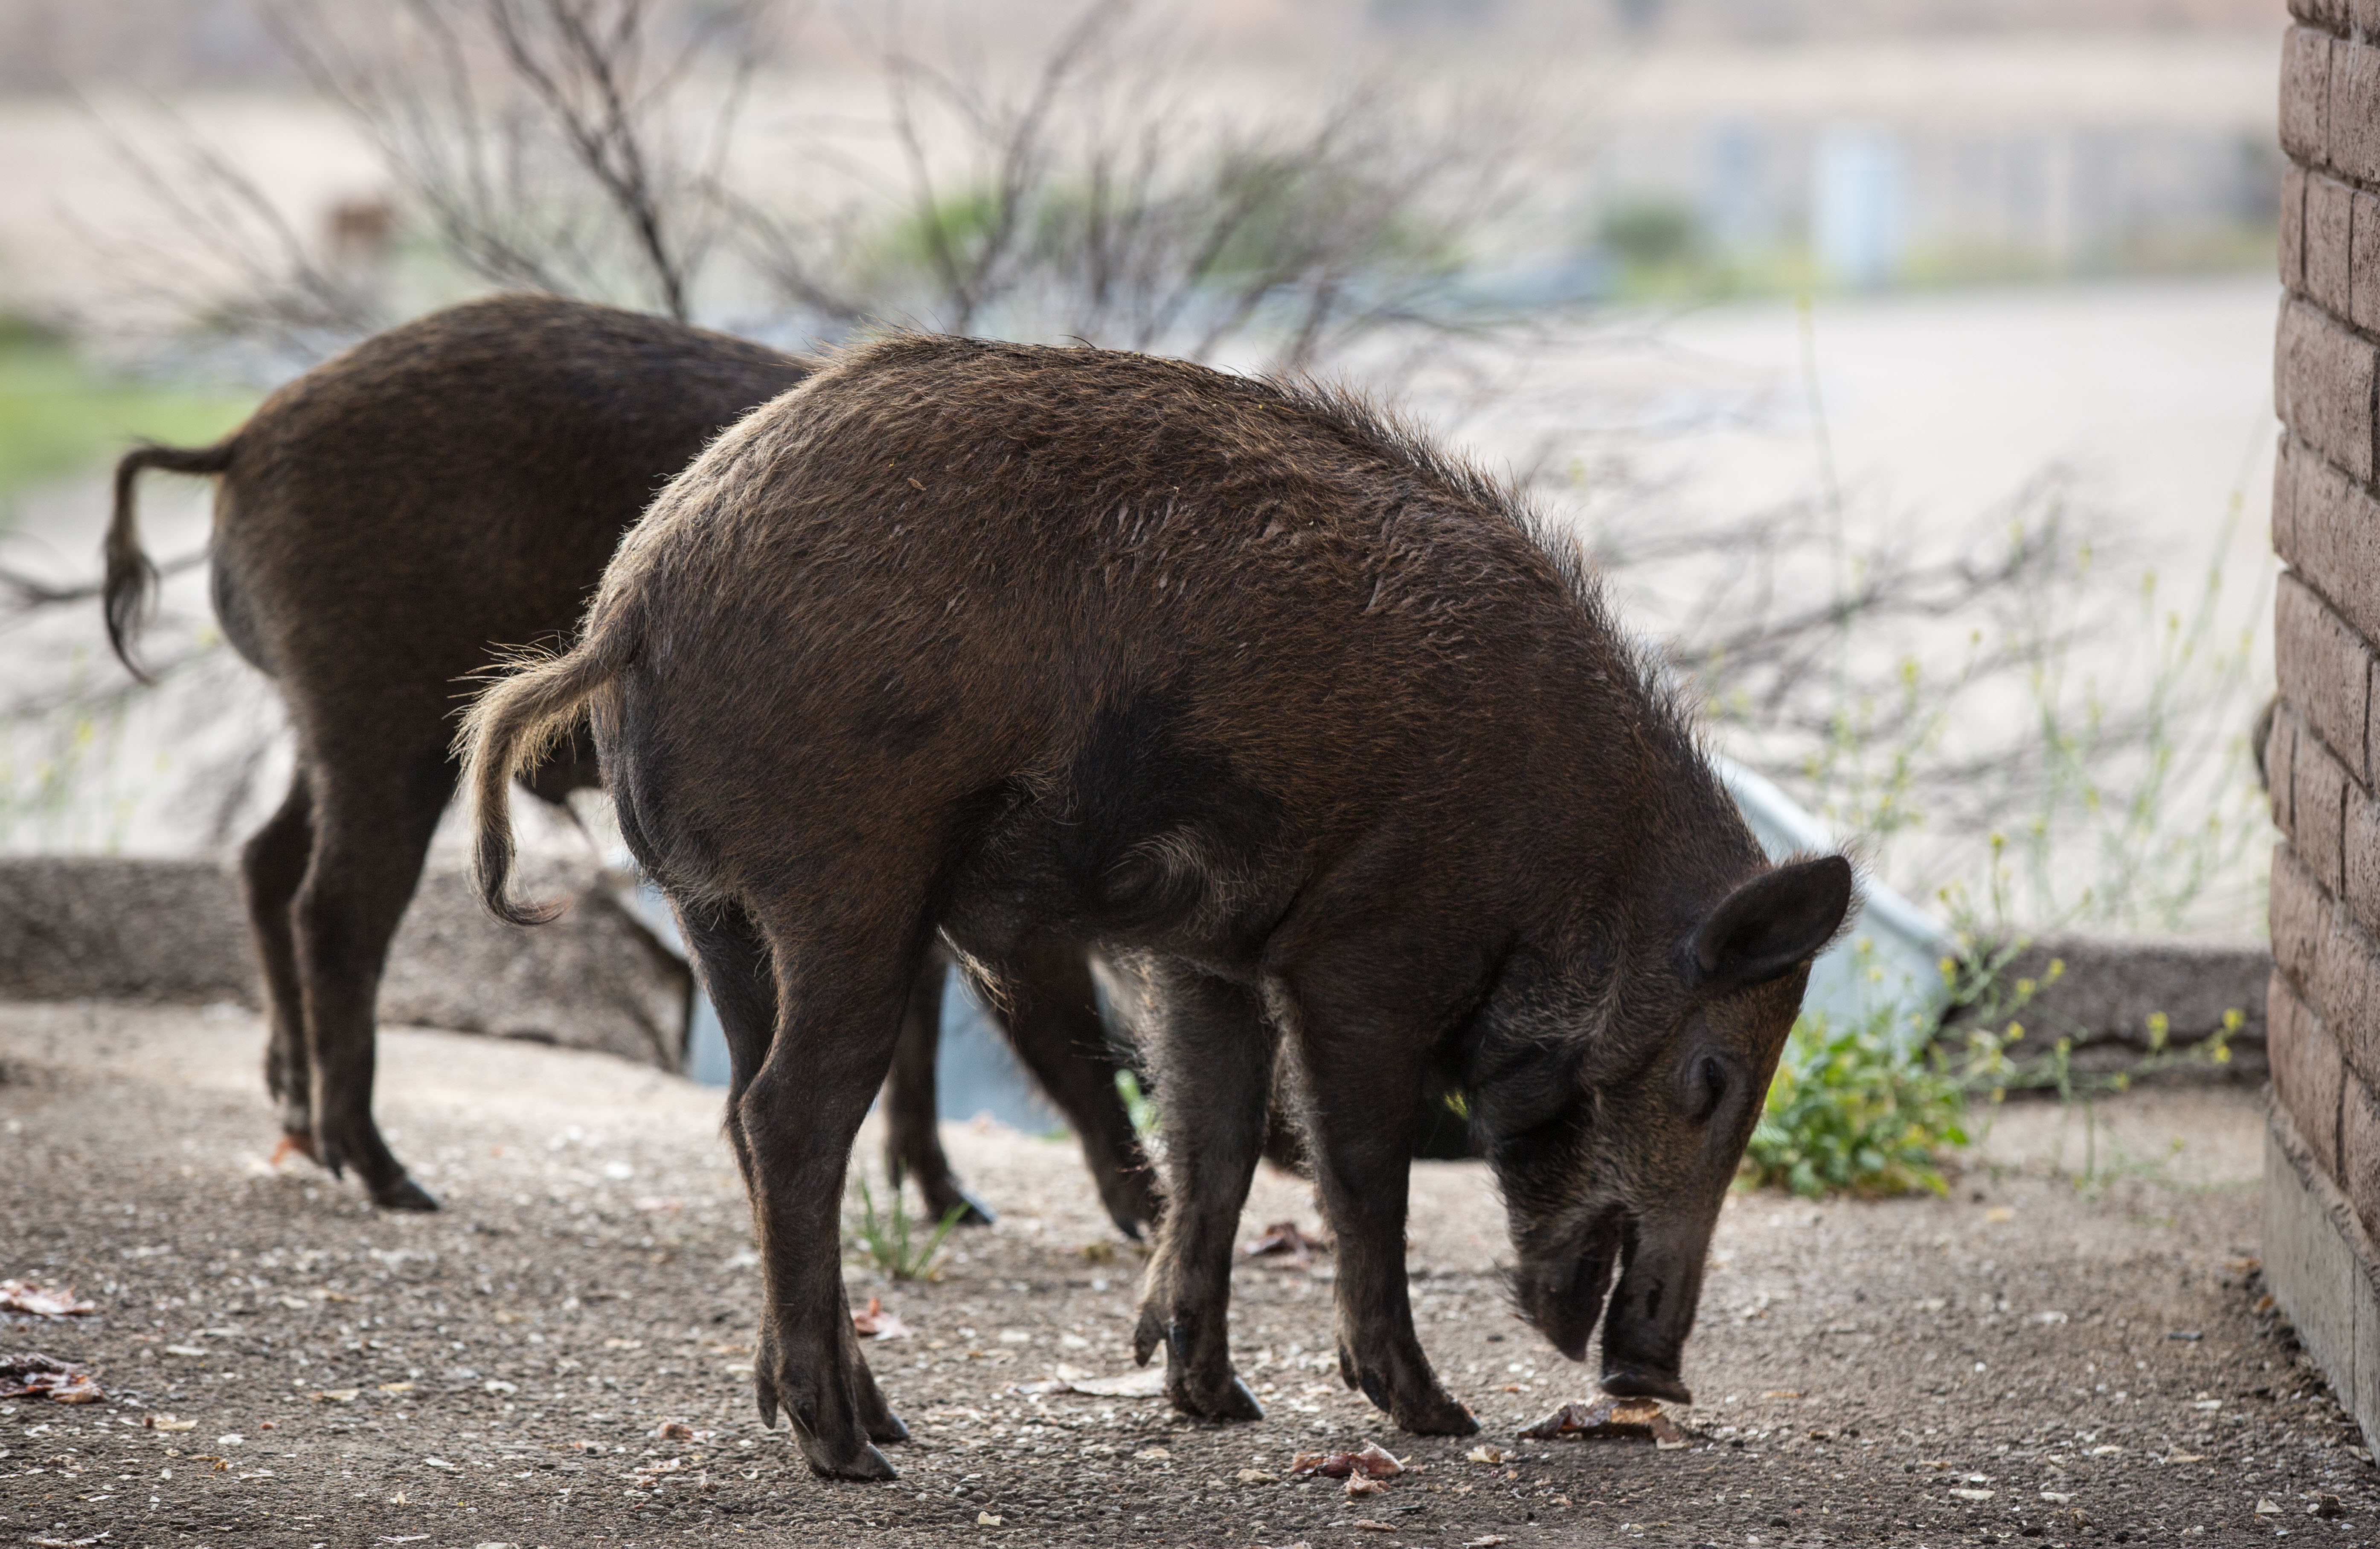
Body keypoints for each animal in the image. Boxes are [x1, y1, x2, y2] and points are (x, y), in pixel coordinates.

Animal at [102, 294, 1155, 1230]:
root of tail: (243, 437)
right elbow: (1065, 1035)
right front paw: (1130, 1218)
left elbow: (927, 1029)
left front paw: (957, 1210)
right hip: (378, 720)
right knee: (334, 912)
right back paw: (392, 1181)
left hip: (324, 726)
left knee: (264, 860)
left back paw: (306, 1128)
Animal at [459, 332, 1854, 1481]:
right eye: (1712, 1079)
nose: (1658, 1375)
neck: (1578, 857)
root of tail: (629, 610)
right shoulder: (1361, 961)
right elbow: (1363, 1175)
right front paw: (1434, 1414)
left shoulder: (1211, 956)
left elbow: (1216, 1147)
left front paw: (1214, 1399)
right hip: (846, 890)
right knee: (788, 1118)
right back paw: (854, 1451)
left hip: (720, 915)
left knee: (745, 1116)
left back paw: (874, 1418)